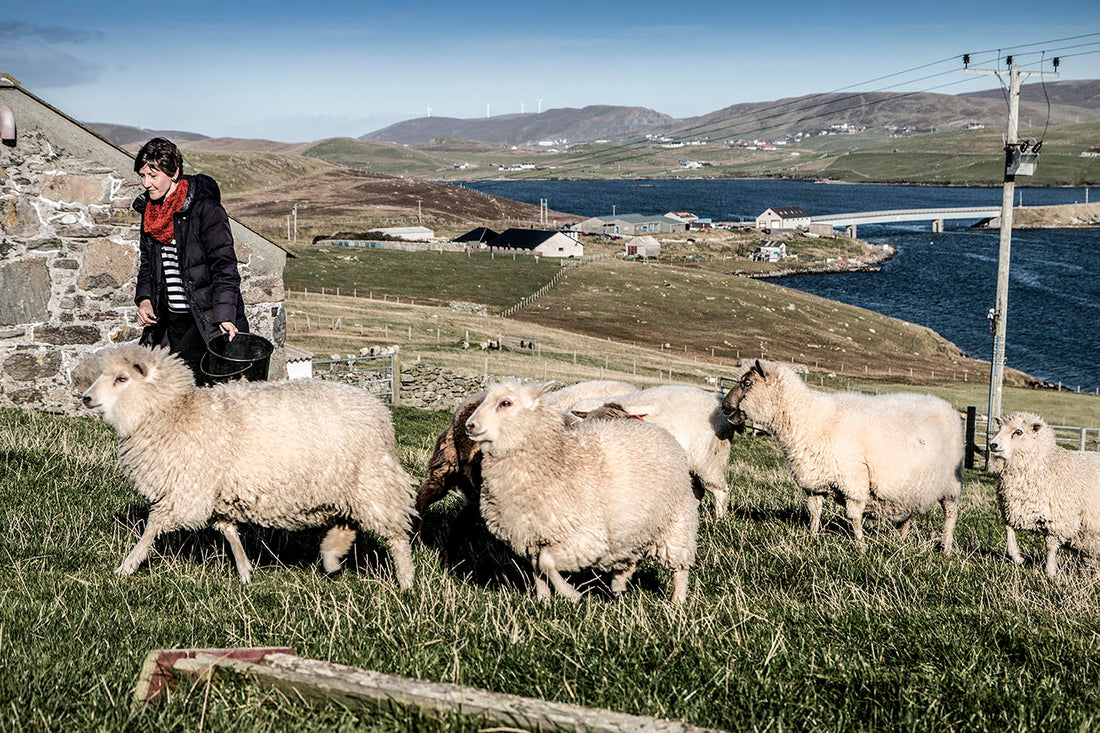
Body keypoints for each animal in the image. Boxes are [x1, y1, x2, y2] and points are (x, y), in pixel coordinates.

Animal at [464, 383, 695, 598]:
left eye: (506, 403)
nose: (470, 426)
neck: (558, 460)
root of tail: (662, 432)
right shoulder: (531, 538)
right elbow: (538, 569)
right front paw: (543, 599)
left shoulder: (584, 538)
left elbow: (546, 563)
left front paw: (569, 593)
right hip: (635, 528)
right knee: (632, 558)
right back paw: (618, 585)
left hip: (675, 524)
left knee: (680, 567)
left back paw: (677, 601)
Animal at [721, 356, 963, 550]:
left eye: (747, 383)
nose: (724, 407)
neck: (810, 417)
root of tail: (947, 406)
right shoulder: (815, 482)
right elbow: (815, 512)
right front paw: (812, 537)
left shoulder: (853, 480)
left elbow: (854, 518)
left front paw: (861, 547)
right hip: (910, 485)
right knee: (908, 512)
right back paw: (901, 542)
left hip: (951, 483)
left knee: (950, 514)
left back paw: (946, 548)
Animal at [990, 407, 1100, 572]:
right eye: (999, 428)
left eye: (1018, 432)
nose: (993, 445)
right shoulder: (1012, 508)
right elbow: (1008, 530)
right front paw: (1017, 557)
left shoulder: (1058, 519)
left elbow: (1050, 546)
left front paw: (1050, 571)